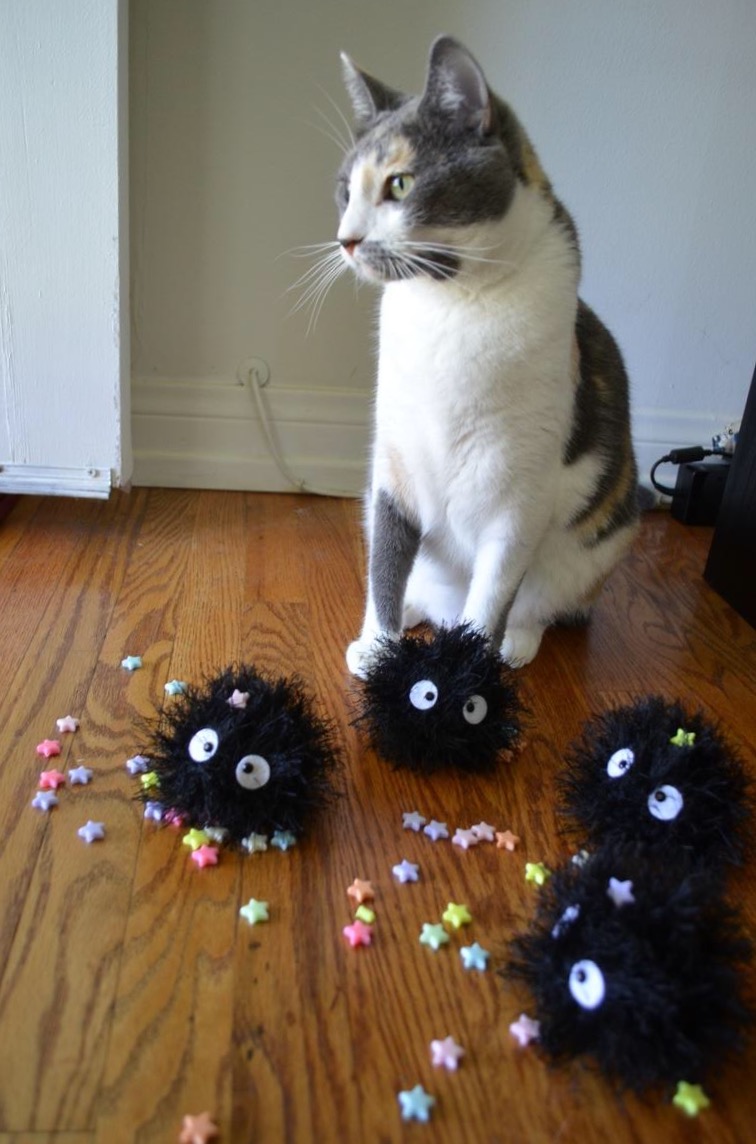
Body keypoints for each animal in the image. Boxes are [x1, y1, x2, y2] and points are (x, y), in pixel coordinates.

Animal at [336, 35, 635, 672]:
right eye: (346, 189)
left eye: (400, 184)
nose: (346, 239)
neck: (452, 306)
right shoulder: (392, 472)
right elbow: (385, 567)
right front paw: (378, 647)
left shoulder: (519, 502)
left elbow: (494, 593)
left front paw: (468, 674)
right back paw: (416, 614)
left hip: (602, 542)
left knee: (536, 602)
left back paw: (516, 643)